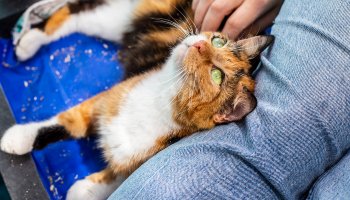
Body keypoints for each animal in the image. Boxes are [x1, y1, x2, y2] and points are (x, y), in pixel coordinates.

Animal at [3, 0, 274, 200]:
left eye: (217, 75)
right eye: (219, 40)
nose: (198, 44)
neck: (159, 100)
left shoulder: (138, 158)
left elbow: (119, 178)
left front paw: (86, 190)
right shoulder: (106, 100)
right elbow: (64, 123)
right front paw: (18, 138)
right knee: (73, 13)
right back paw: (28, 43)